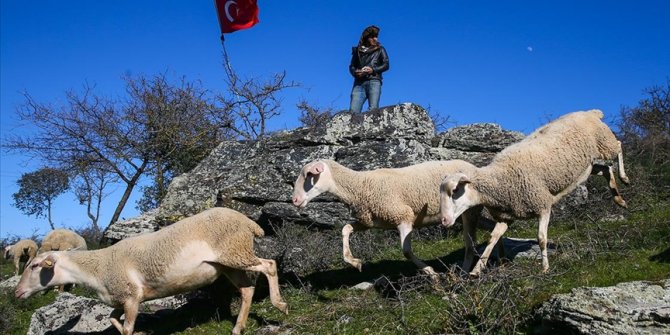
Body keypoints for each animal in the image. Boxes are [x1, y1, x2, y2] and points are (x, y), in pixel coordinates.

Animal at [15, 207, 288, 335]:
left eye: (35, 266)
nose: (17, 292)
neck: (98, 267)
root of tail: (249, 223)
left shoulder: (131, 297)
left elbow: (126, 328)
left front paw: (135, 331)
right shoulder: (121, 297)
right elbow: (112, 318)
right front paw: (141, 331)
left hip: (235, 252)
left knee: (269, 266)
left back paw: (280, 305)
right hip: (229, 263)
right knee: (247, 290)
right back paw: (238, 328)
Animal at [292, 159, 502, 276]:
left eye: (308, 175)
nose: (294, 200)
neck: (360, 186)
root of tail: (474, 167)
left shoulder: (403, 217)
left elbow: (406, 251)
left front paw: (431, 273)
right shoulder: (369, 221)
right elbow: (346, 229)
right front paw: (354, 262)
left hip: (468, 211)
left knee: (471, 241)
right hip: (463, 214)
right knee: (488, 227)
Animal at [440, 109, 632, 276]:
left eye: (455, 191)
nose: (444, 221)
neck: (499, 181)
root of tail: (591, 112)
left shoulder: (543, 205)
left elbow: (541, 238)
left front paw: (545, 268)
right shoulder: (507, 216)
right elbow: (493, 238)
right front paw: (477, 270)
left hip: (605, 142)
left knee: (619, 146)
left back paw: (625, 178)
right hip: (589, 163)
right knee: (606, 169)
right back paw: (619, 199)